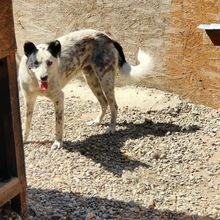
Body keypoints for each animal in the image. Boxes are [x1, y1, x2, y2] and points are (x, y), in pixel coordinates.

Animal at [18, 29, 154, 149]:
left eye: (50, 62)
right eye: (35, 63)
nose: (44, 77)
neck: (36, 83)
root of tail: (108, 37)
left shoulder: (59, 98)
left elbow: (58, 123)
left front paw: (58, 142)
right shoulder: (29, 100)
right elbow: (26, 123)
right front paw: (23, 140)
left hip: (106, 81)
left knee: (114, 106)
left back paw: (111, 128)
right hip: (92, 81)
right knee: (104, 103)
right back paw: (97, 121)